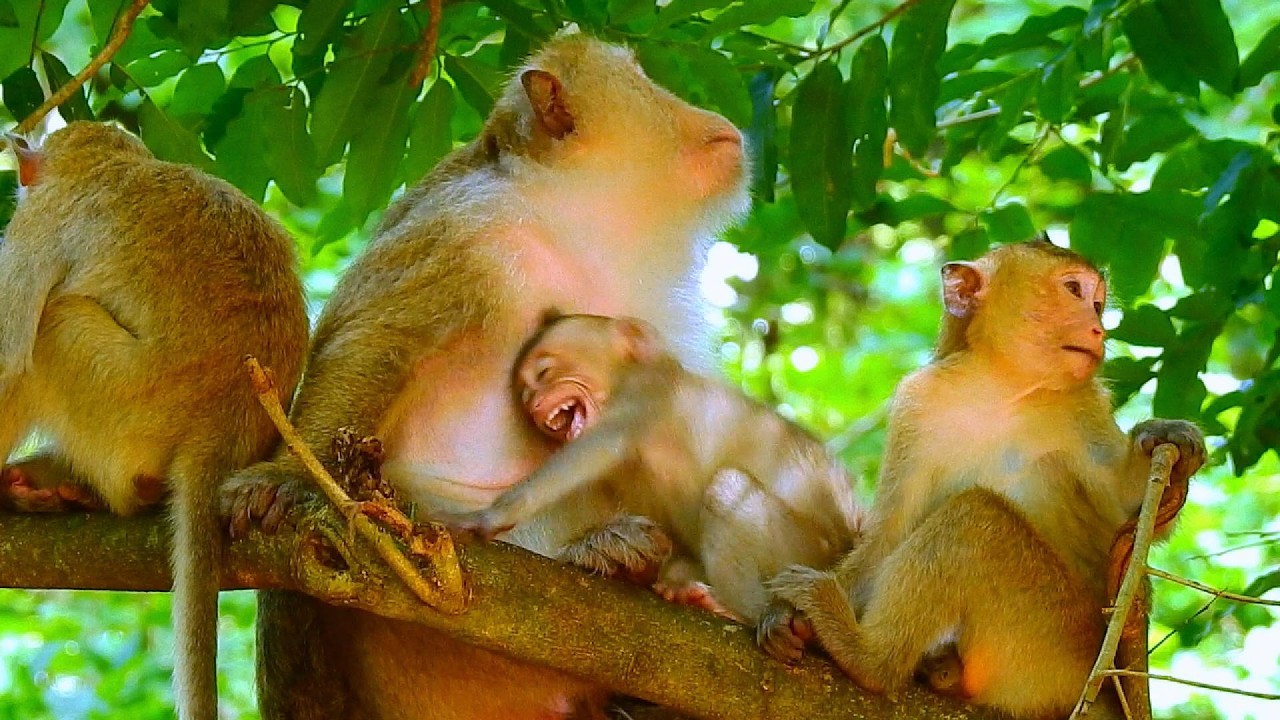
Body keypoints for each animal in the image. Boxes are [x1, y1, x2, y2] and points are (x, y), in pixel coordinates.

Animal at [0, 122, 308, 720]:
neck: (108, 165)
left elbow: (8, 351)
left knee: (52, 324)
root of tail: (222, 426)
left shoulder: (40, 221)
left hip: (125, 404)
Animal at [220, 34, 750, 720]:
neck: (581, 220)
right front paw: (286, 478)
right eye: (641, 79)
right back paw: (603, 557)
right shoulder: (463, 231)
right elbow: (372, 339)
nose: (703, 109)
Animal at [439, 313, 863, 623]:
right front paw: (640, 565)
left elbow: (598, 448)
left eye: (543, 374)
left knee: (727, 488)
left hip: (806, 550)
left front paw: (490, 516)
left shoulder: (643, 396)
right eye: (526, 393)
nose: (535, 403)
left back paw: (747, 615)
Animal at [763, 240, 1205, 717]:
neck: (1001, 386)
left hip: (1050, 642)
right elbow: (888, 534)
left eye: (1098, 304)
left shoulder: (1083, 404)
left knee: (975, 517)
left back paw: (871, 661)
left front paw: (1168, 444)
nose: (1098, 329)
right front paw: (784, 620)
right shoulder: (917, 403)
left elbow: (1123, 518)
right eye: (1074, 291)